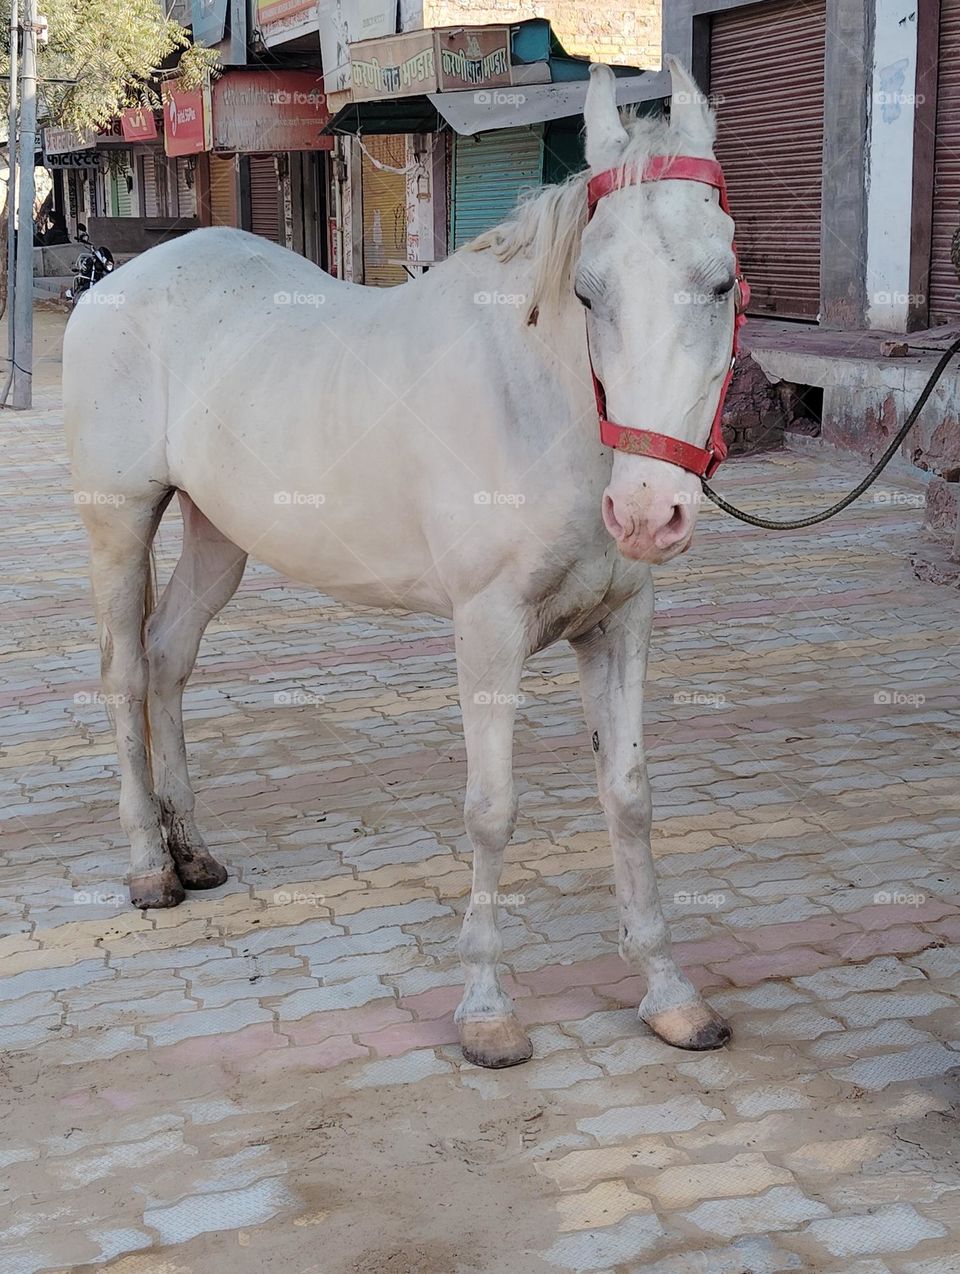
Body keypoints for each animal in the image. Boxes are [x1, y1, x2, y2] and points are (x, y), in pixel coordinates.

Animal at [63, 61, 740, 1069]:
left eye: (722, 282)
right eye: (588, 294)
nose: (649, 511)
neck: (545, 405)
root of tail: (119, 285)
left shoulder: (620, 623)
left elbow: (629, 798)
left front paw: (669, 996)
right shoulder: (488, 628)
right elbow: (491, 809)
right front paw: (487, 1012)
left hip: (220, 534)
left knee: (167, 657)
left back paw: (194, 853)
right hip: (119, 522)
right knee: (122, 675)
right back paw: (150, 866)